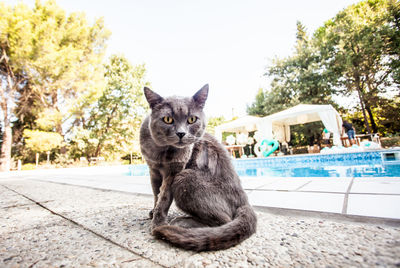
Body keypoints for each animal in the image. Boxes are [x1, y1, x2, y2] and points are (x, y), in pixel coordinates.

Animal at [140, 85, 256, 252]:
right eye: (168, 119)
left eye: (192, 119)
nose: (181, 133)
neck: (162, 152)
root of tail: (245, 202)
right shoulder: (153, 170)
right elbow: (156, 194)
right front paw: (153, 211)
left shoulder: (174, 171)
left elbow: (164, 198)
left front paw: (158, 223)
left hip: (185, 178)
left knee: (224, 220)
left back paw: (181, 222)